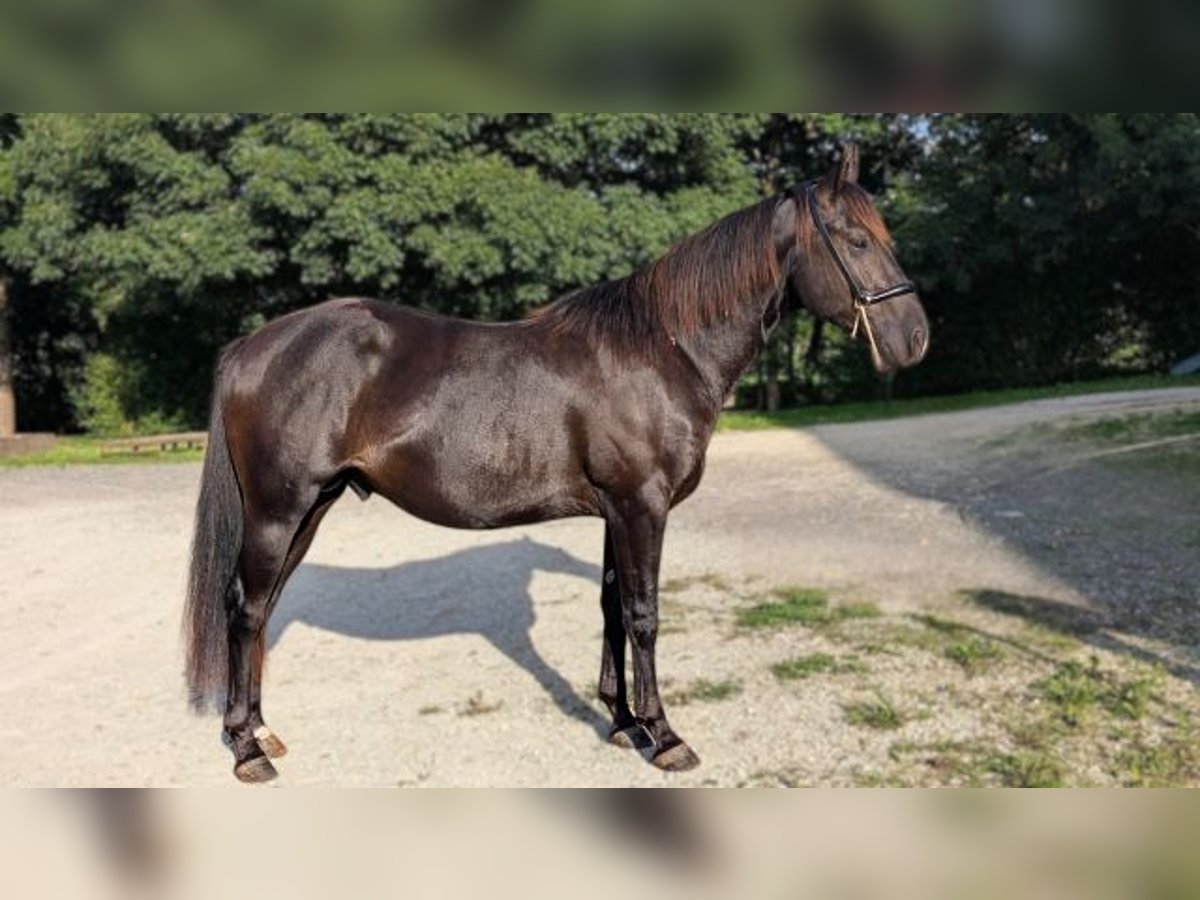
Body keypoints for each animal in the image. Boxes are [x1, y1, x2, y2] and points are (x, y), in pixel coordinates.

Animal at [183, 144, 929, 783]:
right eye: (856, 240)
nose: (915, 339)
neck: (662, 349)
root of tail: (253, 345)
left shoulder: (617, 512)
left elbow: (611, 607)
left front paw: (625, 723)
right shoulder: (641, 506)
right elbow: (644, 615)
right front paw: (667, 737)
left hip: (310, 507)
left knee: (261, 609)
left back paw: (261, 730)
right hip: (279, 511)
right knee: (246, 609)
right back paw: (247, 749)